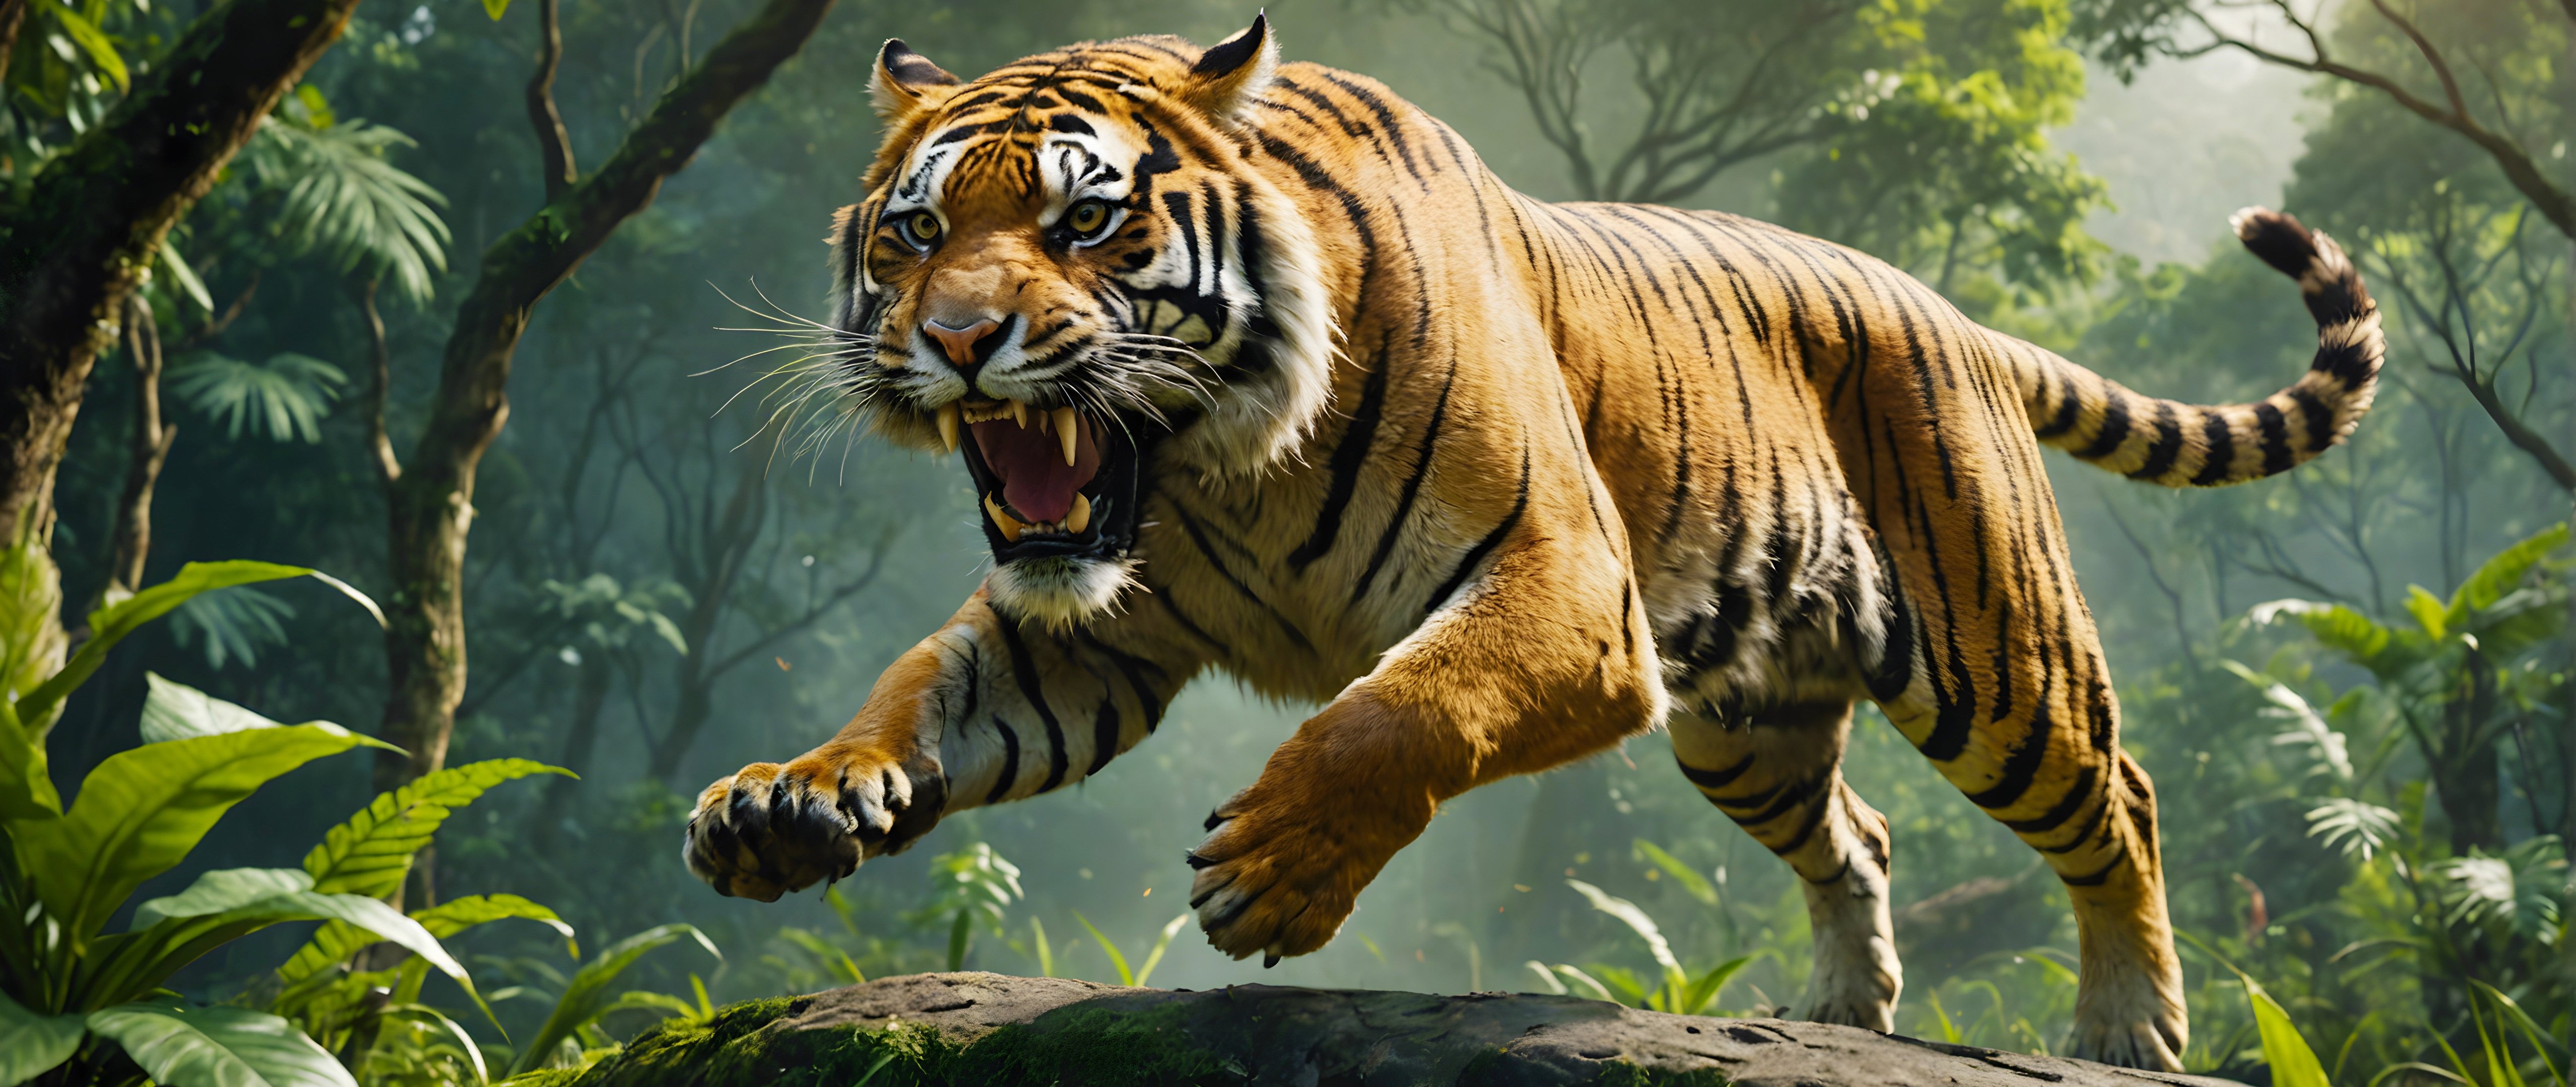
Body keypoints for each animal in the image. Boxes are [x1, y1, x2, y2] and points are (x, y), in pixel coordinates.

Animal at [680, 16, 2382, 1070]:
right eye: (914, 232)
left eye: (1081, 223)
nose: (958, 341)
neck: (1215, 471)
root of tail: (1946, 311)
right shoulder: (1085, 633)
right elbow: (927, 693)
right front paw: (794, 800)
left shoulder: (1565, 584)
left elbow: (1397, 713)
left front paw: (1273, 881)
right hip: (1747, 729)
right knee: (1862, 839)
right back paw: (1842, 1013)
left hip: (1991, 657)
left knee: (2118, 798)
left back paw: (2128, 1029)